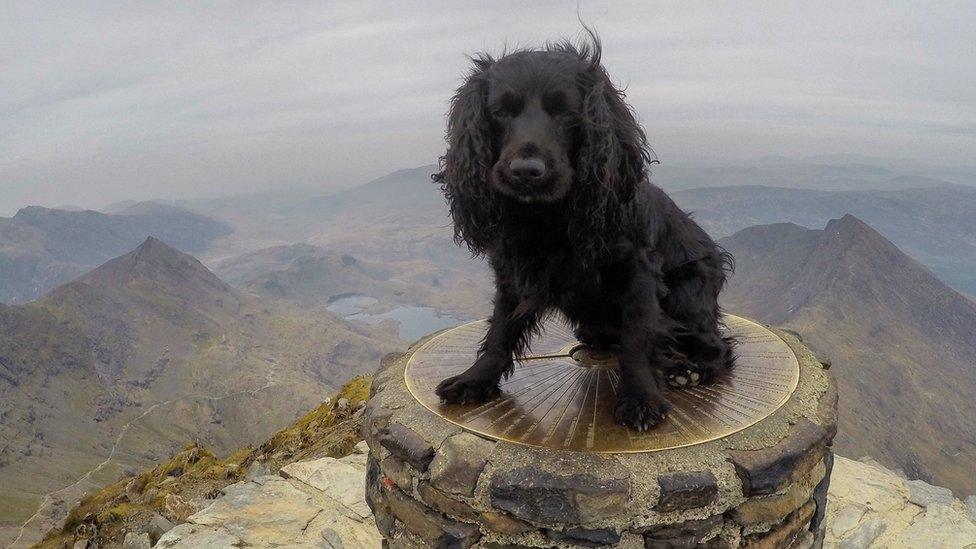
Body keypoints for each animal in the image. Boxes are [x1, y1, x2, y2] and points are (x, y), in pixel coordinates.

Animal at [432, 37, 732, 432]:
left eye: (565, 111)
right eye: (500, 111)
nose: (526, 171)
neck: (548, 218)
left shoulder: (638, 272)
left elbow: (637, 337)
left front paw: (640, 398)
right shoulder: (513, 272)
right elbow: (500, 329)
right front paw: (475, 378)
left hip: (689, 292)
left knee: (719, 346)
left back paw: (690, 370)